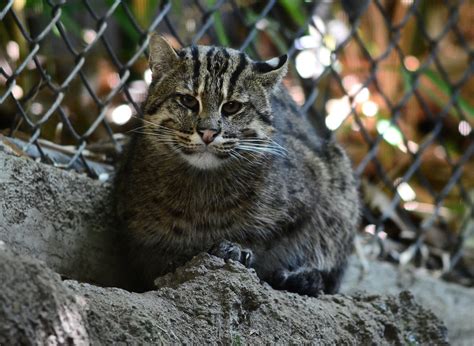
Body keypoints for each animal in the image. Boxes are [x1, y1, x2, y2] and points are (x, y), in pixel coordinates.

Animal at [115, 33, 360, 296]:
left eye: (232, 107)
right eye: (188, 100)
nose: (208, 132)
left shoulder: (313, 186)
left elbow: (268, 241)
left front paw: (236, 249)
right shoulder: (137, 236)